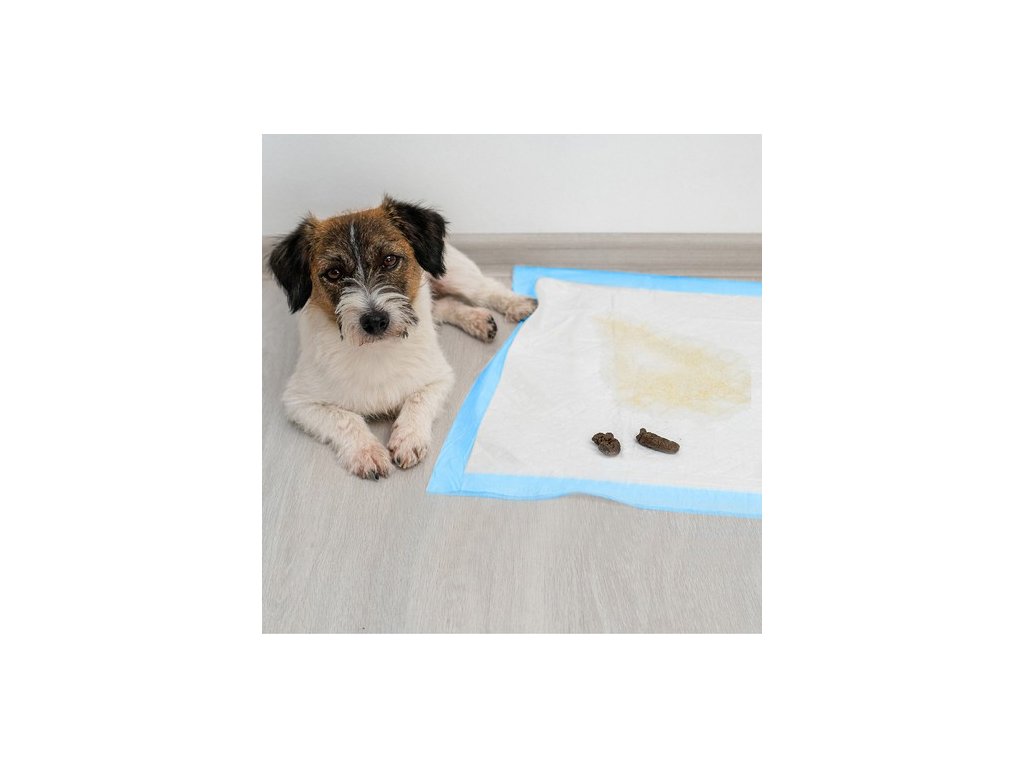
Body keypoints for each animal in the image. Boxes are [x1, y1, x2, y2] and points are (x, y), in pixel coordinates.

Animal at [269, 196, 538, 480]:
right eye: (334, 273)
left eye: (389, 260)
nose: (375, 321)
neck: (377, 349)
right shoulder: (300, 402)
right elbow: (345, 419)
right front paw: (367, 452)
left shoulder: (439, 379)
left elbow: (417, 400)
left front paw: (409, 439)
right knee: (443, 305)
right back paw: (476, 319)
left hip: (455, 274)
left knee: (484, 289)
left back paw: (516, 304)